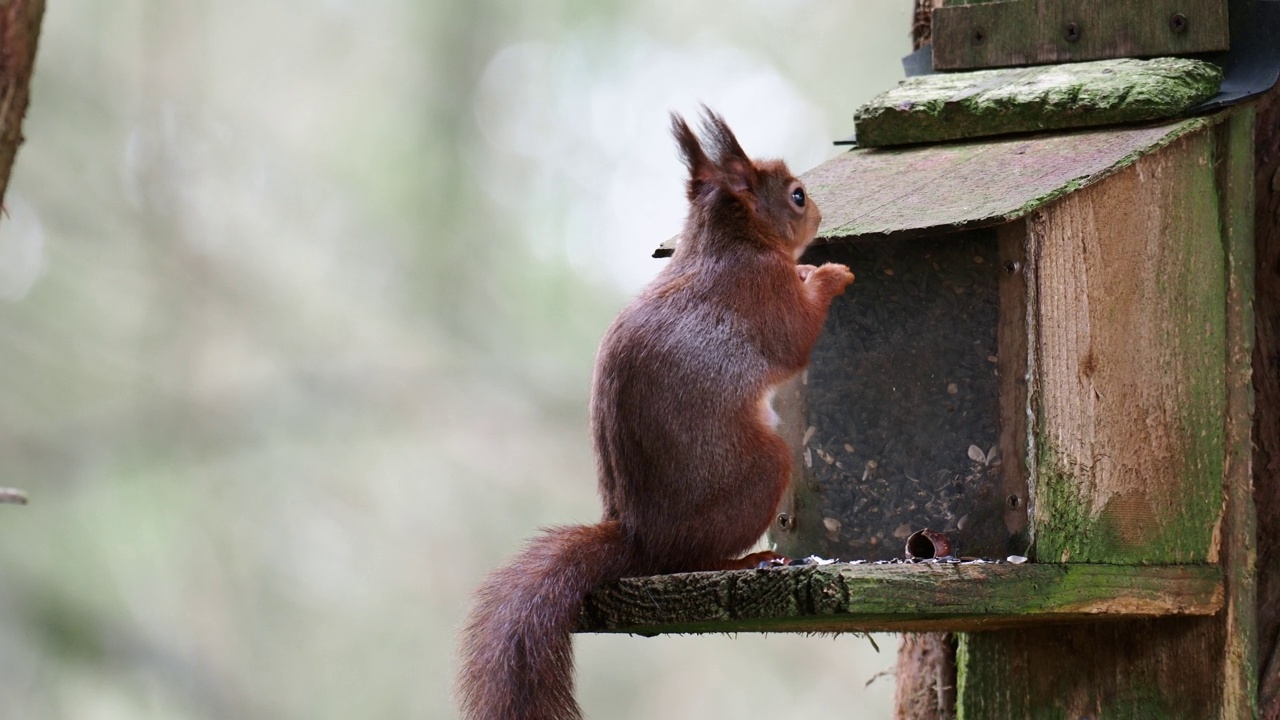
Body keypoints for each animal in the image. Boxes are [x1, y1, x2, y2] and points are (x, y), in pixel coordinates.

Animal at [455, 107, 855, 717]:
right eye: (797, 195)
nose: (820, 213)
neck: (727, 242)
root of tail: (640, 537)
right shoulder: (762, 291)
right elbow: (796, 339)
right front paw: (829, 275)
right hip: (762, 468)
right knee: (686, 560)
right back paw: (741, 563)